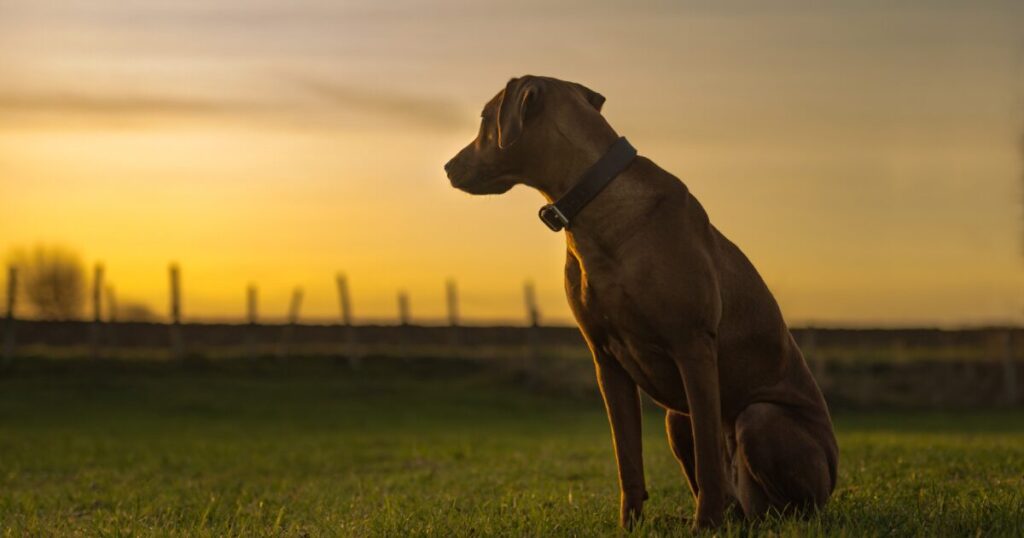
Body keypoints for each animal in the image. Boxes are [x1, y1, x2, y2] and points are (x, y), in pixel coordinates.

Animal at [446, 75, 839, 528]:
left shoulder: (693, 346)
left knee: (787, 501)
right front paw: (629, 525)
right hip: (677, 419)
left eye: (484, 118)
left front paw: (704, 526)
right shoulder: (606, 360)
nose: (448, 167)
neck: (595, 203)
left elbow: (708, 460)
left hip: (761, 421)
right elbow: (627, 459)